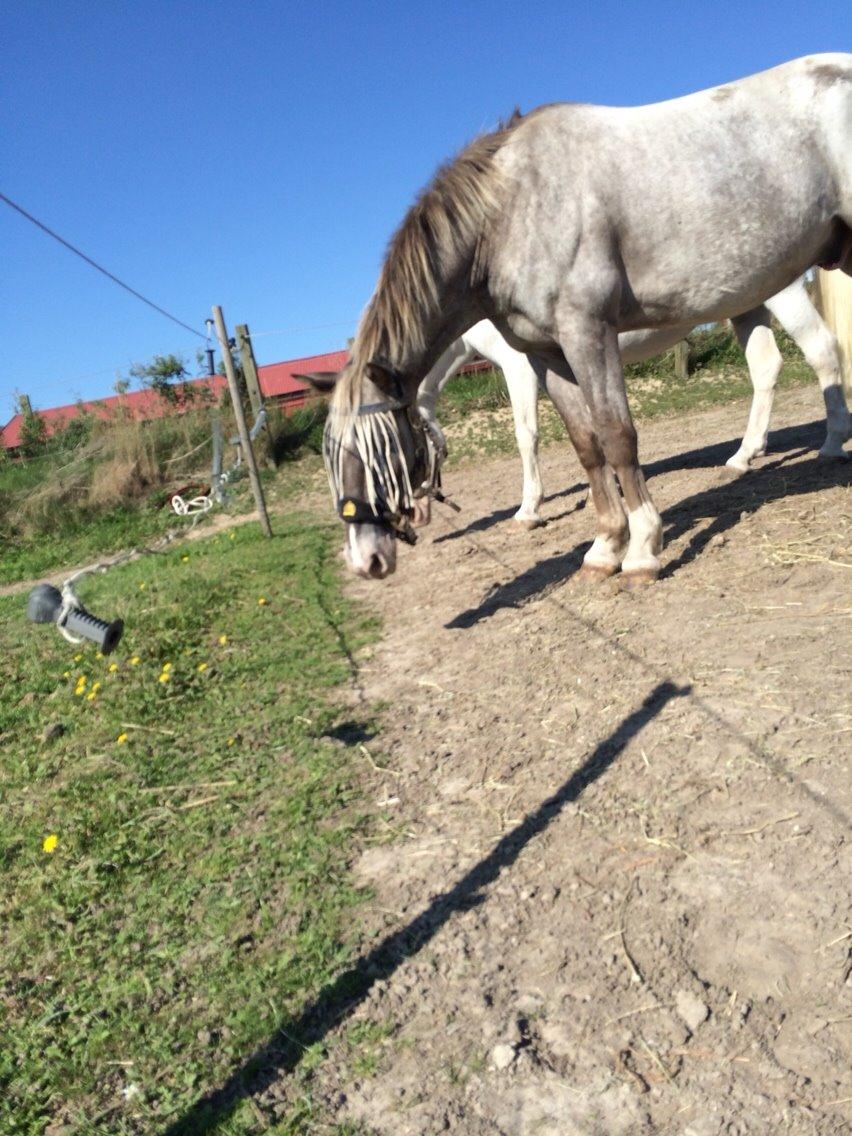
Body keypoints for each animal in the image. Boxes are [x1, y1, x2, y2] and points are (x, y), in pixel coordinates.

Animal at [418, 274, 852, 527]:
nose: (420, 513)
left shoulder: (520, 366)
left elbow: (526, 436)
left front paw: (528, 511)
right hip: (747, 305)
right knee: (765, 367)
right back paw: (743, 457)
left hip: (784, 292)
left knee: (822, 350)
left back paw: (832, 445)